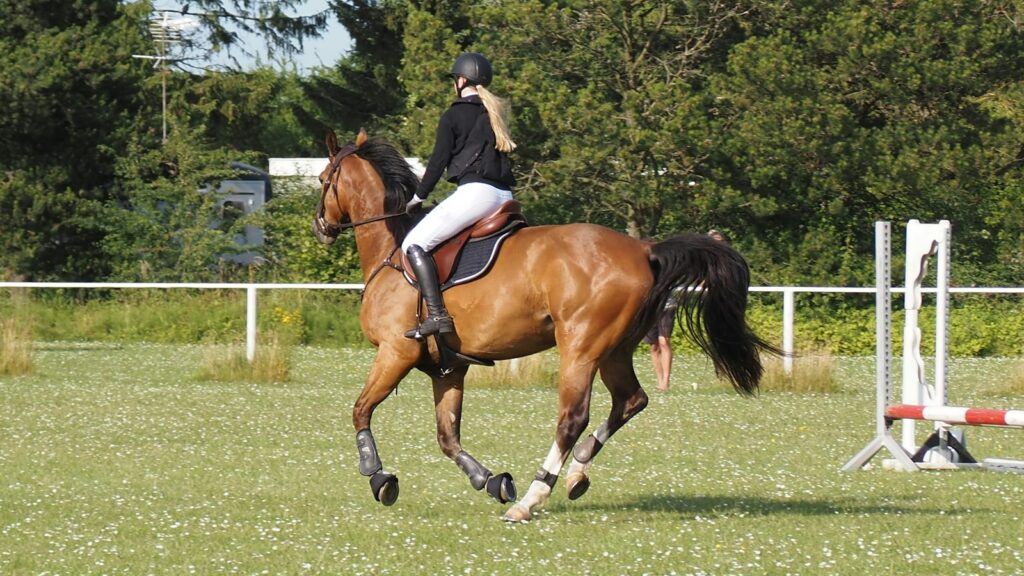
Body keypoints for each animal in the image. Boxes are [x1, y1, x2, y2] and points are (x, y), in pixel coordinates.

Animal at [312, 129, 779, 522]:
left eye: (321, 179)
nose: (321, 228)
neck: (392, 252)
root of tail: (644, 249)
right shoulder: (448, 368)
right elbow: (448, 438)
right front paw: (491, 481)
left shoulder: (397, 352)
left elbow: (360, 410)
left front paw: (377, 474)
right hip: (614, 349)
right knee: (630, 400)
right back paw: (576, 473)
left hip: (580, 348)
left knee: (573, 417)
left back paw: (534, 497)